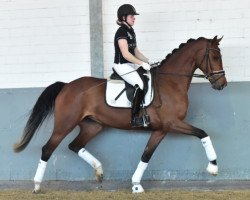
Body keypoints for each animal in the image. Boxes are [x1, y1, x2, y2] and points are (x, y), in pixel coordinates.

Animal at [14, 35, 228, 193]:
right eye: (215, 57)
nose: (222, 84)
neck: (171, 82)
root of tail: (66, 86)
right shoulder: (172, 123)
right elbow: (203, 133)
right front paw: (213, 167)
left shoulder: (160, 129)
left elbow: (146, 155)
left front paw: (136, 185)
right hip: (64, 124)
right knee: (47, 149)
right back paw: (36, 186)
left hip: (93, 126)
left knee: (75, 145)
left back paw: (99, 171)